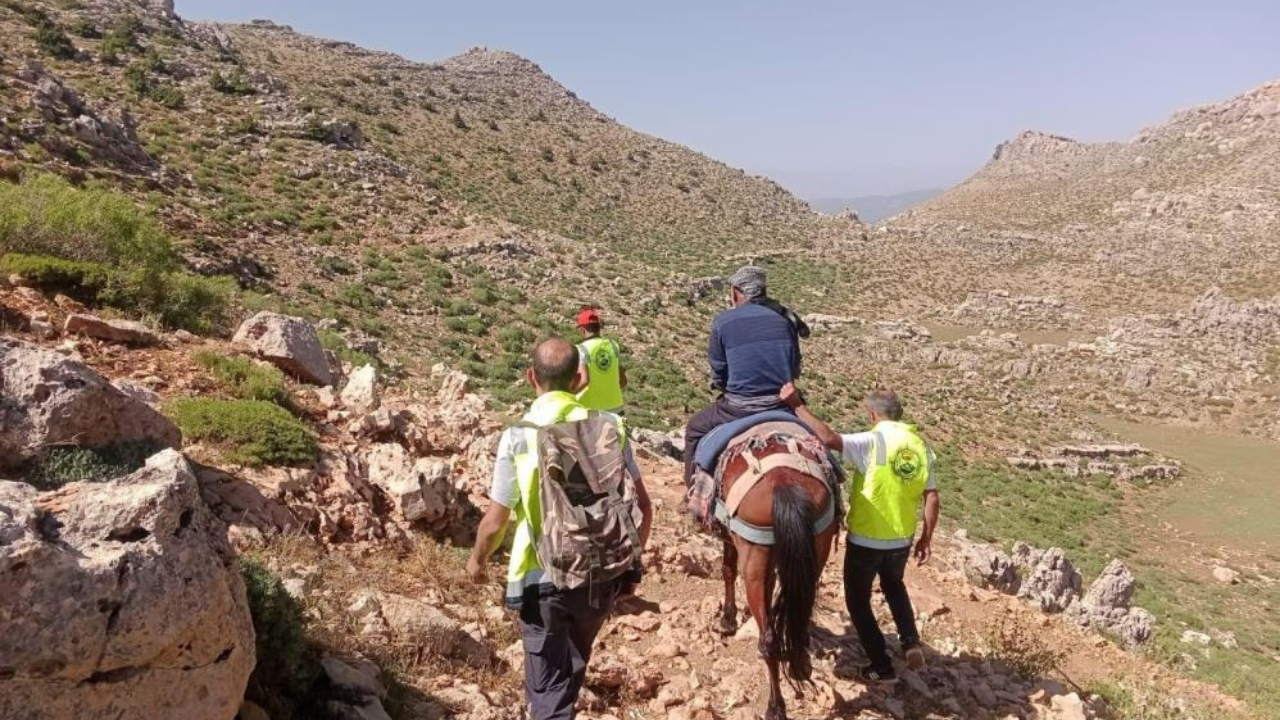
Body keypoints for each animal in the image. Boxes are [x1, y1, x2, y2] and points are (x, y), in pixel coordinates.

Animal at [711, 427, 839, 717]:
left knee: (768, 640)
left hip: (754, 562)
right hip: (816, 552)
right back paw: (798, 664)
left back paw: (775, 706)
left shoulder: (729, 536)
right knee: (799, 617)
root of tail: (783, 482)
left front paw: (727, 619)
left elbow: (727, 570)